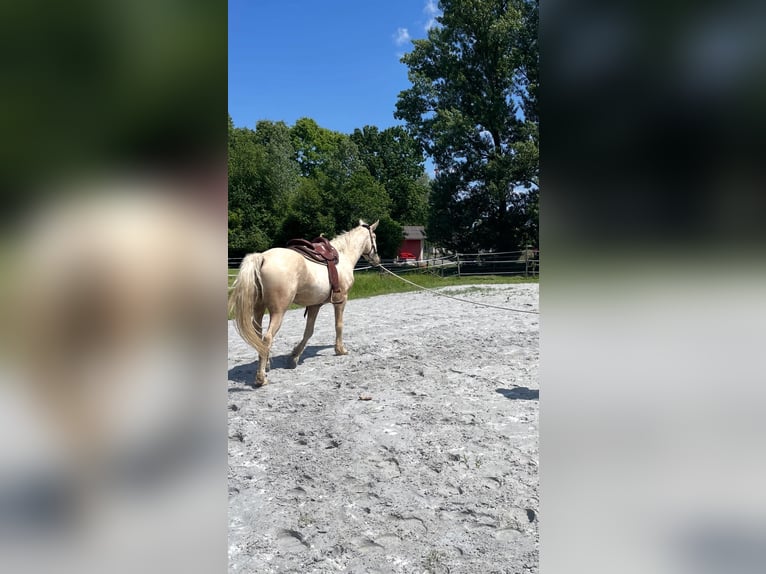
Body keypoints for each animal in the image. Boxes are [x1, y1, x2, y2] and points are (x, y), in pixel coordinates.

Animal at [228, 219, 380, 386]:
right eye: (374, 237)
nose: (377, 260)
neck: (343, 257)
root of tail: (262, 257)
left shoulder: (314, 305)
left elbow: (309, 331)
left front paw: (294, 357)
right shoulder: (341, 300)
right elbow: (338, 325)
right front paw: (340, 350)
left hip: (259, 309)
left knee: (258, 335)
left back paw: (266, 364)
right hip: (278, 312)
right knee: (267, 337)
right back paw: (261, 378)